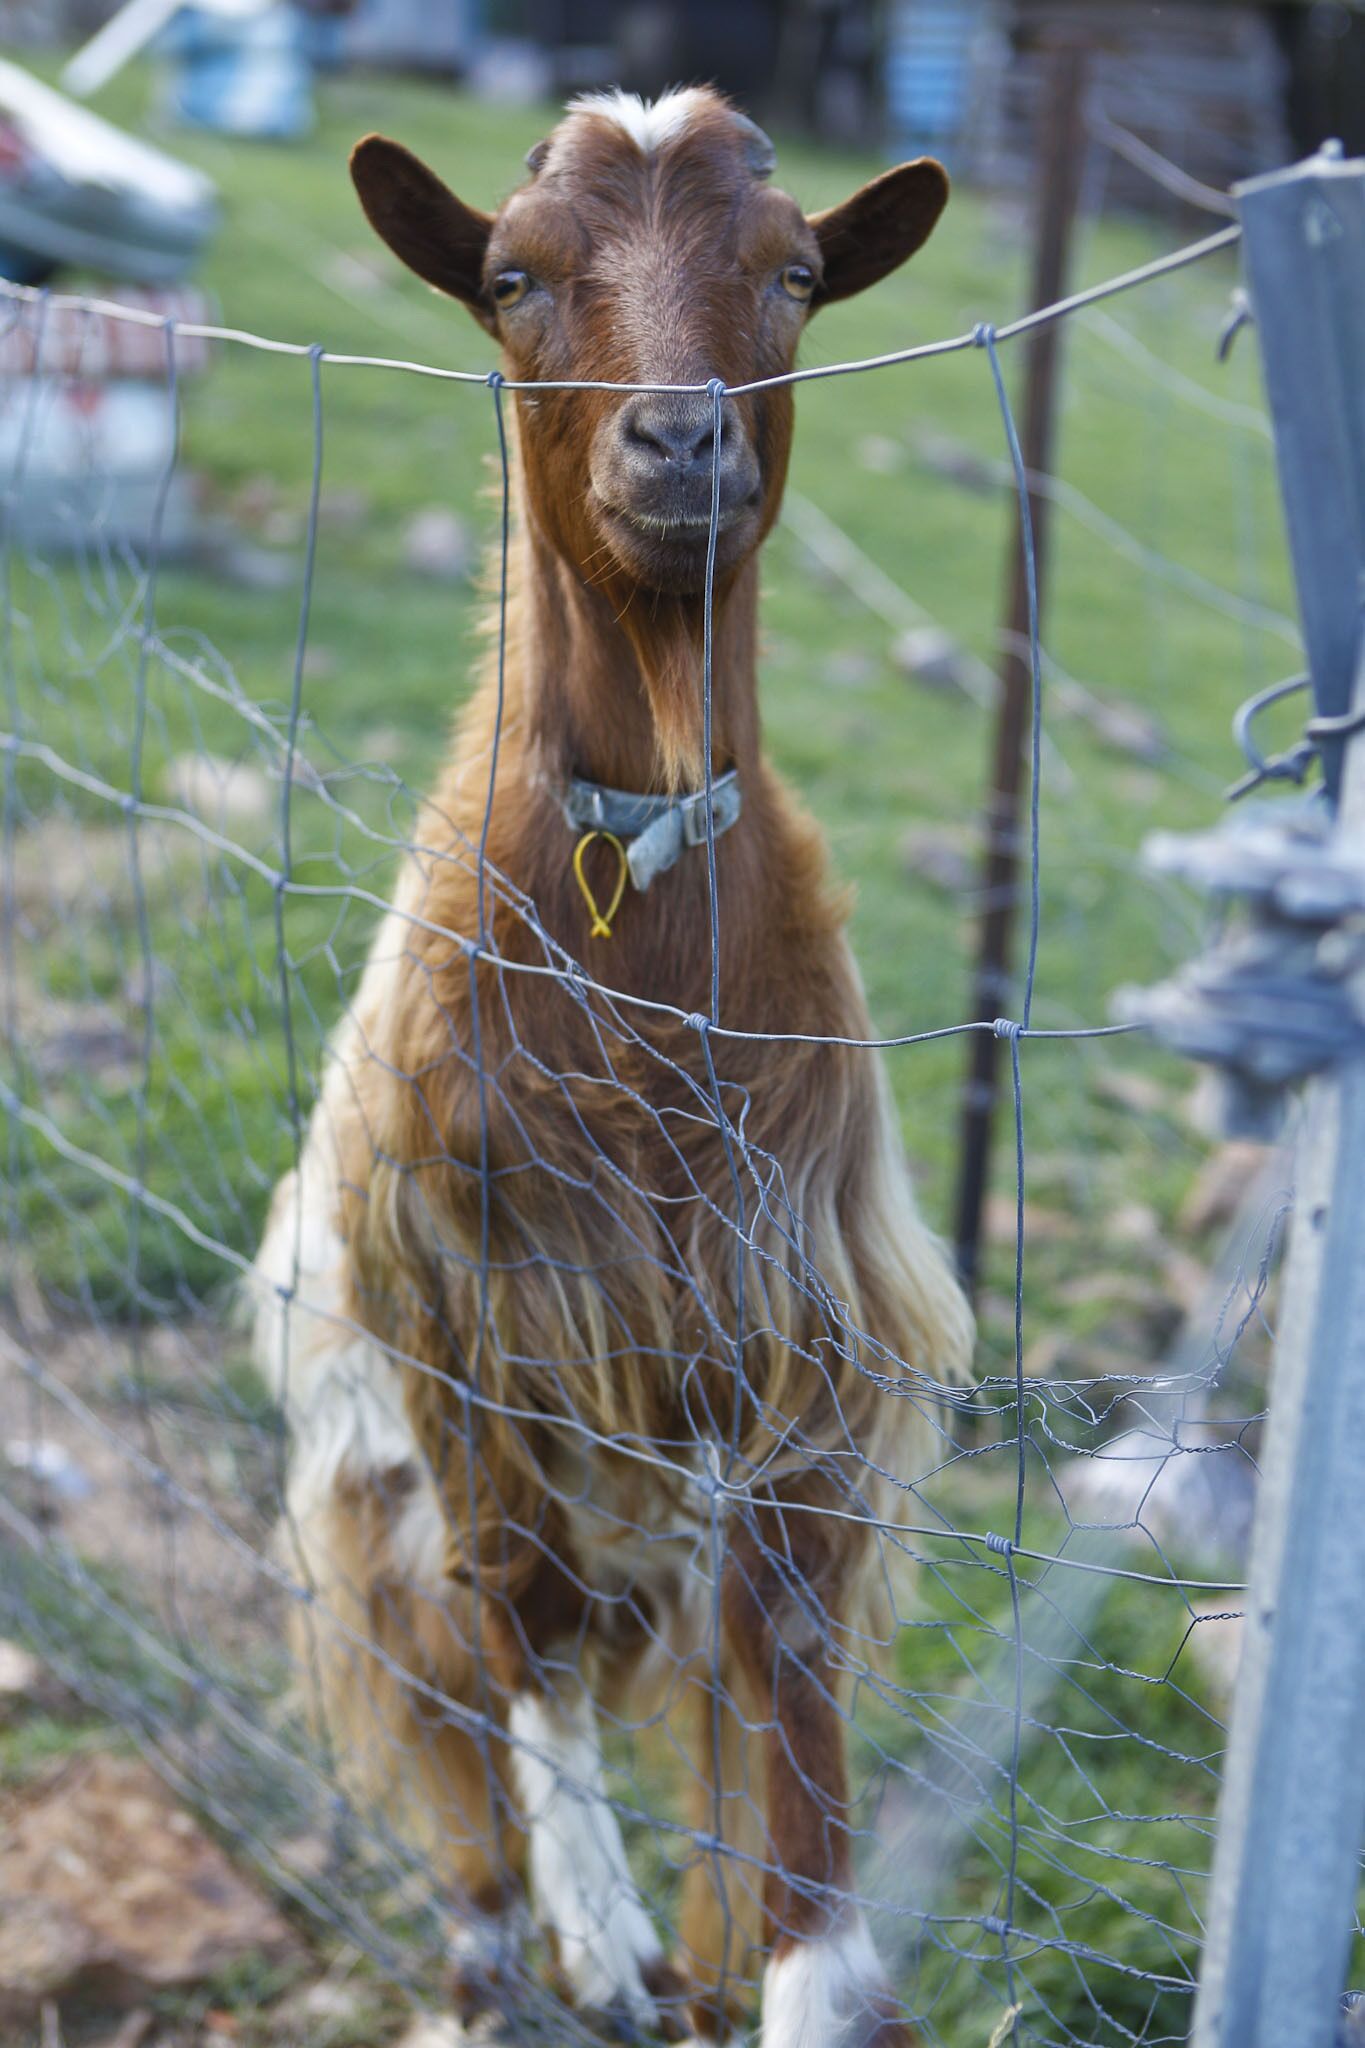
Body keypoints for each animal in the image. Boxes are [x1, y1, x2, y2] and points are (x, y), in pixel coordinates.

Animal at [253, 88, 970, 2039]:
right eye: (511, 276)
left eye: (793, 275)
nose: (679, 442)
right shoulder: (465, 1320)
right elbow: (528, 1628)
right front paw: (601, 1926)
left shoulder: (800, 1338)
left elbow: (794, 1709)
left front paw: (802, 1974)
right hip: (361, 1519)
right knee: (446, 1721)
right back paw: (494, 1949)